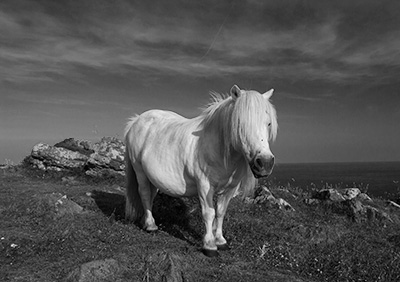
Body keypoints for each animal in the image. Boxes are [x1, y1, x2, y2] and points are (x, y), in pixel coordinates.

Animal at [123, 85, 276, 256]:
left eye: (269, 124)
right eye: (241, 123)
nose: (265, 163)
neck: (216, 147)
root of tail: (136, 120)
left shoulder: (230, 188)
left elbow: (221, 212)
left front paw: (221, 241)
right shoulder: (204, 185)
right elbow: (209, 213)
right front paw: (209, 245)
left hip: (153, 178)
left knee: (150, 195)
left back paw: (147, 221)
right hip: (140, 171)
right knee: (143, 193)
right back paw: (150, 225)